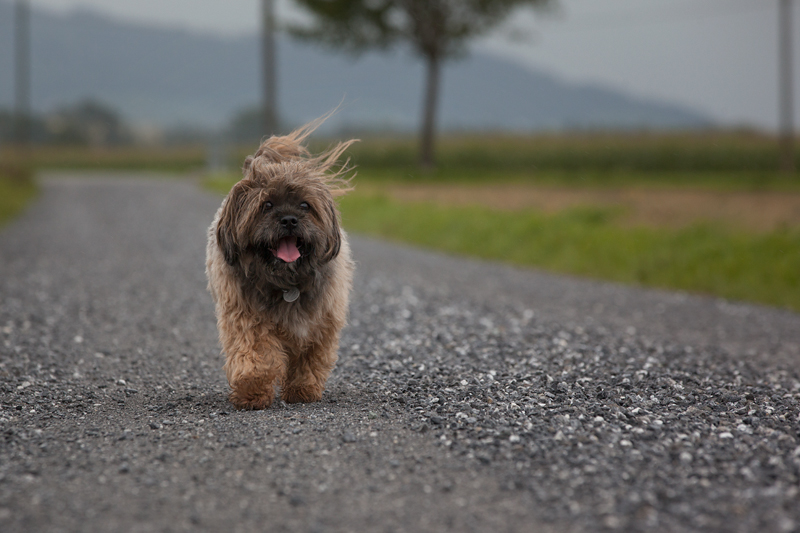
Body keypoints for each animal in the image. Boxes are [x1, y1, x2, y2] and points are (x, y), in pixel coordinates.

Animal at [206, 120, 356, 410]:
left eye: (305, 205)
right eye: (267, 205)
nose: (288, 219)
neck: (286, 283)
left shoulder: (321, 321)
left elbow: (311, 358)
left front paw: (303, 390)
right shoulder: (245, 316)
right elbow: (255, 354)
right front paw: (252, 391)